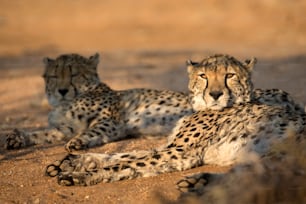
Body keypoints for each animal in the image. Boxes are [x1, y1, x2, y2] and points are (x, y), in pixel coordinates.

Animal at [5, 52, 192, 151]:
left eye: (74, 74)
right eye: (54, 76)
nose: (62, 91)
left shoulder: (111, 121)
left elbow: (92, 130)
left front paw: (77, 142)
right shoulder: (67, 128)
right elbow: (43, 134)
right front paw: (19, 137)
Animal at [44, 54, 304, 186]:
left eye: (230, 75)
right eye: (203, 76)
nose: (215, 94)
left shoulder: (180, 153)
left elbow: (125, 163)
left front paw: (80, 175)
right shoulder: (171, 148)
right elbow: (124, 155)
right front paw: (73, 161)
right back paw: (198, 182)